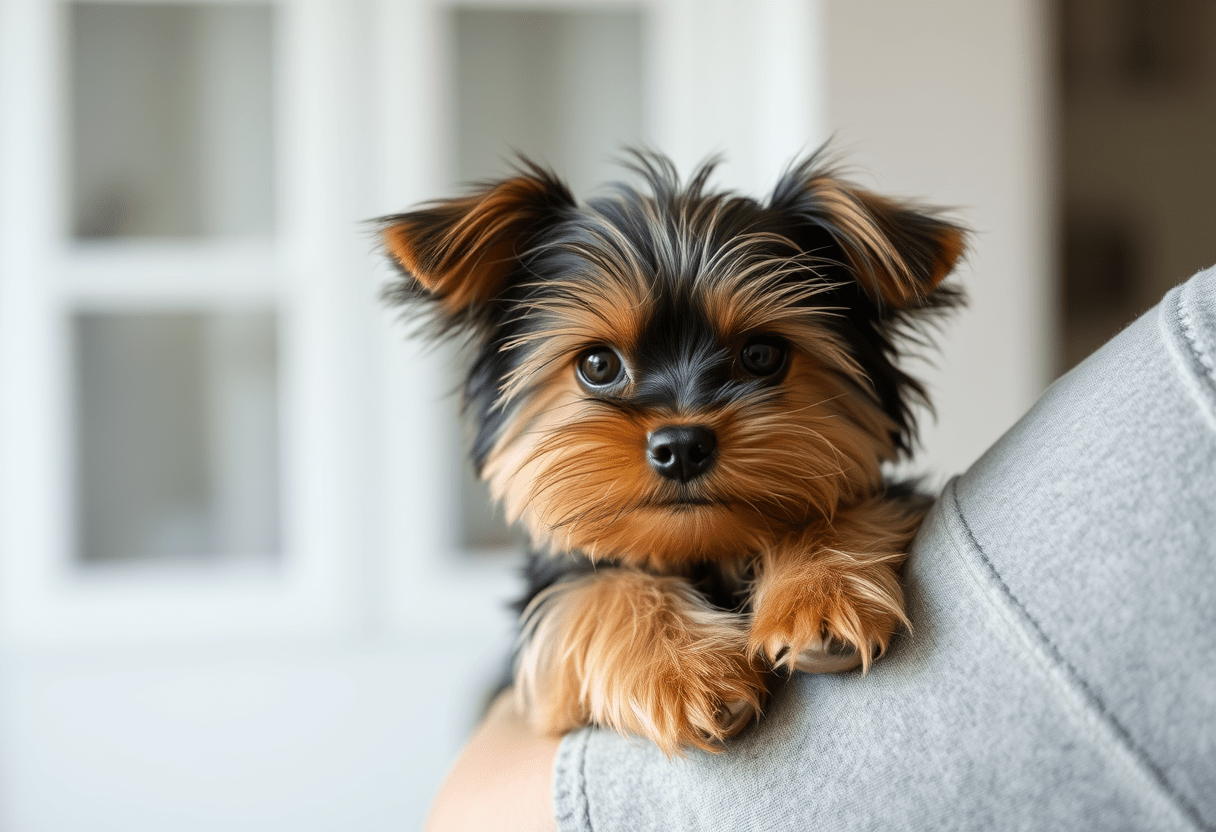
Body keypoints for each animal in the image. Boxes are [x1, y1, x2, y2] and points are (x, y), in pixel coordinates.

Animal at [374, 149, 963, 754]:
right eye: (598, 365)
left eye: (761, 355)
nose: (681, 446)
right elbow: (601, 581)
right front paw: (686, 670)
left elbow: (844, 503)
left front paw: (821, 596)